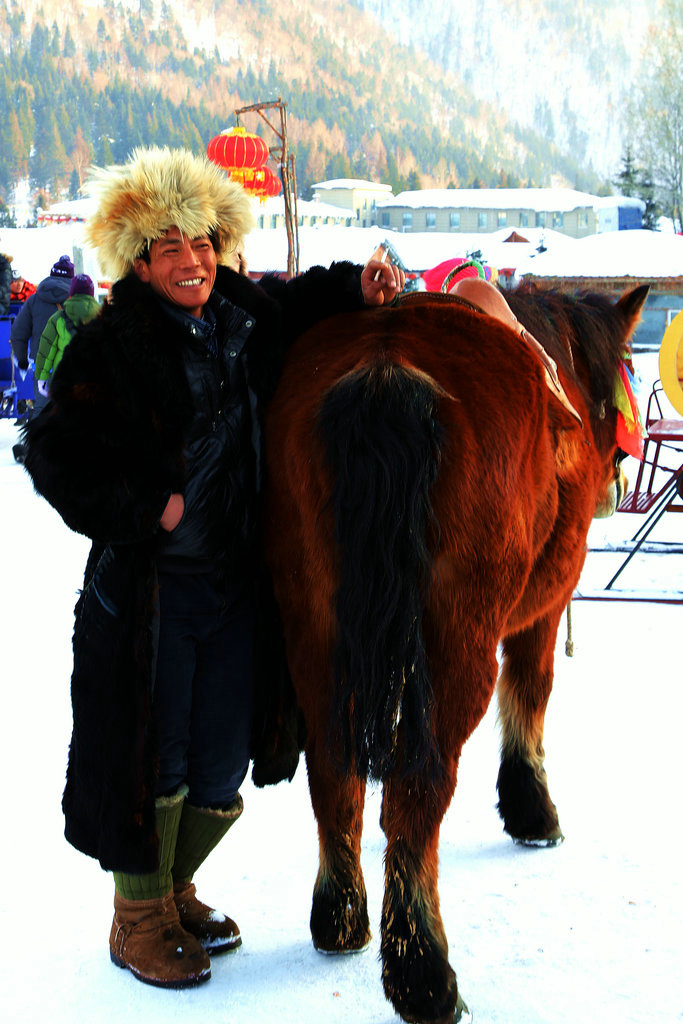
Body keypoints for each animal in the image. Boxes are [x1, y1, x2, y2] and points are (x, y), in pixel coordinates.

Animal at [264, 282, 651, 1024]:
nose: (616, 487)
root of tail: (386, 367)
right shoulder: (543, 605)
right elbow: (530, 693)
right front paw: (531, 807)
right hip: (456, 644)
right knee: (417, 789)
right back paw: (422, 971)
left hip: (314, 626)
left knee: (334, 772)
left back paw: (341, 917)